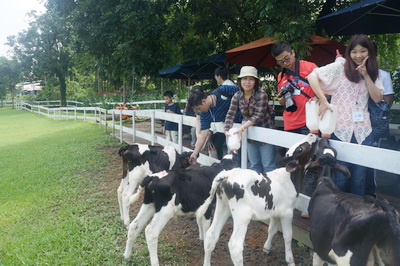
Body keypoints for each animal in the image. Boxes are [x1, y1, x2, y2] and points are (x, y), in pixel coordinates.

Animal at [197, 134, 318, 264]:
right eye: (300, 149)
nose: (312, 134)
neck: (289, 177)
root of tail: (227, 174)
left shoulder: (275, 211)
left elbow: (272, 229)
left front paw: (266, 247)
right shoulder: (287, 212)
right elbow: (288, 235)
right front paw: (290, 261)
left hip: (223, 206)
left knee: (211, 235)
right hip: (242, 214)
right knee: (235, 246)